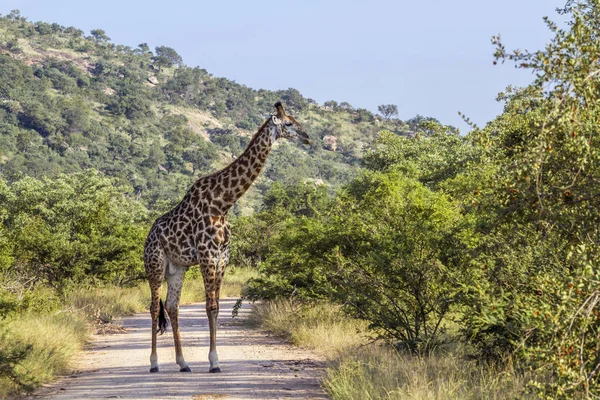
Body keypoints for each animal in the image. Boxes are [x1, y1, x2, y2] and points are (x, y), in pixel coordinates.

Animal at [141, 102, 310, 372]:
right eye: (289, 123)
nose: (307, 137)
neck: (222, 204)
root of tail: (148, 236)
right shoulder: (207, 256)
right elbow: (210, 307)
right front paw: (214, 362)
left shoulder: (222, 258)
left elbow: (217, 308)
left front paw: (213, 359)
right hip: (154, 264)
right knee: (153, 306)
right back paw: (155, 363)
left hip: (177, 268)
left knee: (171, 306)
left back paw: (183, 363)